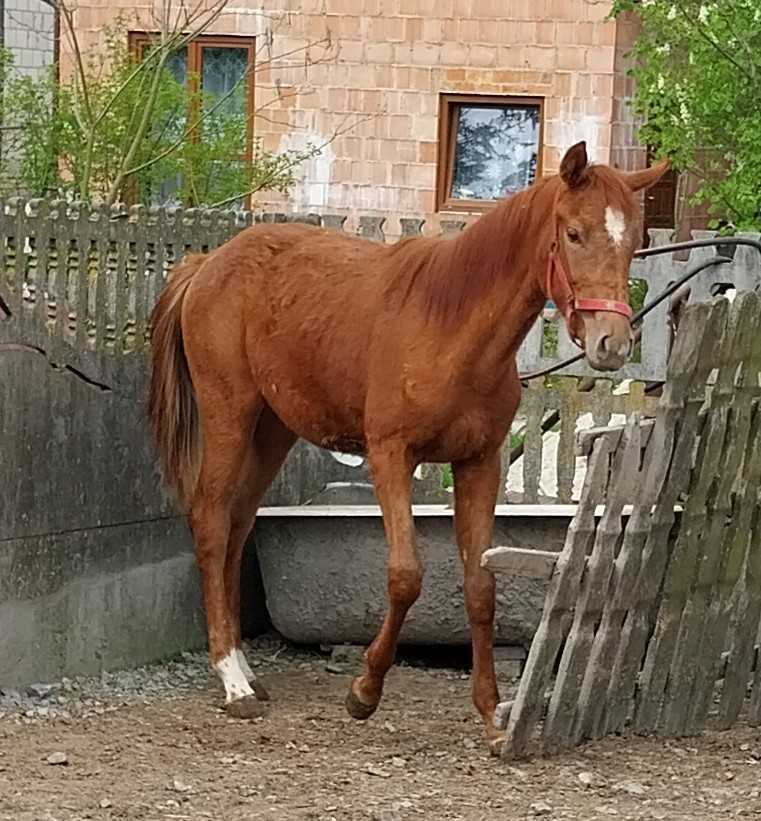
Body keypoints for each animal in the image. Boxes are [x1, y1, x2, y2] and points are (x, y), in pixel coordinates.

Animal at [147, 141, 664, 748]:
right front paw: (364, 691)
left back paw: (244, 667)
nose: (613, 344)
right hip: (230, 414)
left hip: (271, 431)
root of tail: (208, 265)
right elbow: (405, 576)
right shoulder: (391, 457)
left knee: (237, 525)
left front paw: (490, 713)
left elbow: (480, 585)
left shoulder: (479, 464)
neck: (452, 330)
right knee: (210, 523)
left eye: (633, 241)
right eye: (575, 233)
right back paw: (232, 680)